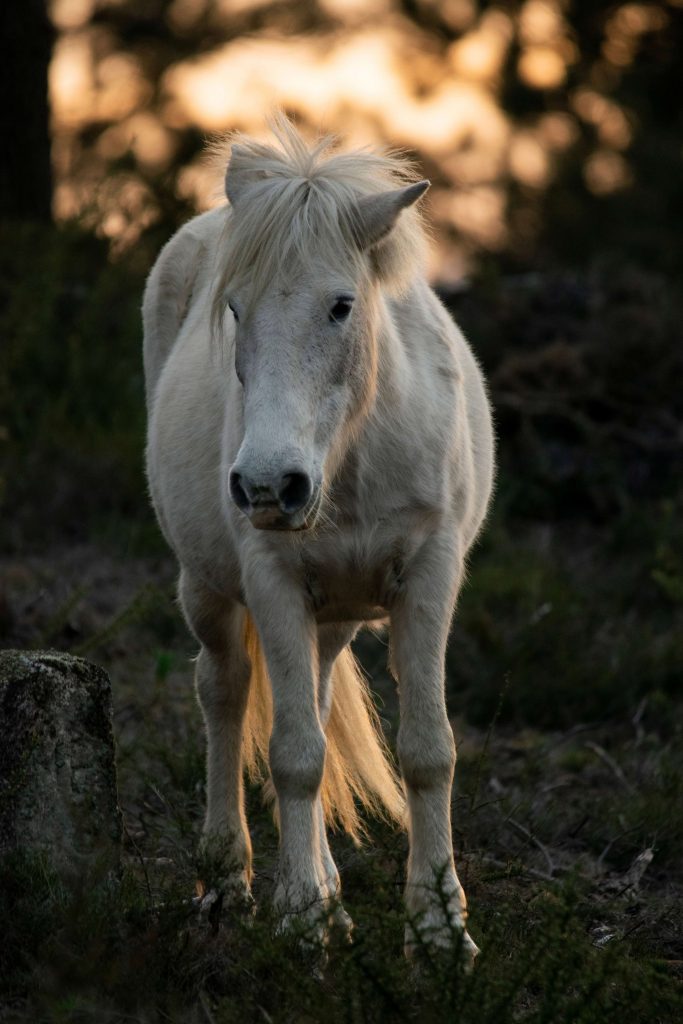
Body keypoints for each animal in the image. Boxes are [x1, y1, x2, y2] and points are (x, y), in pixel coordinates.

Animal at [143, 118, 494, 964]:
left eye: (340, 306)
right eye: (233, 309)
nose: (270, 486)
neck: (351, 458)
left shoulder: (429, 577)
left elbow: (426, 750)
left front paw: (439, 930)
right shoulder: (271, 582)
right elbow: (294, 756)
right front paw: (299, 919)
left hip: (333, 615)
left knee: (318, 696)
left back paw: (330, 900)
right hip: (207, 590)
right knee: (224, 691)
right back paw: (228, 881)